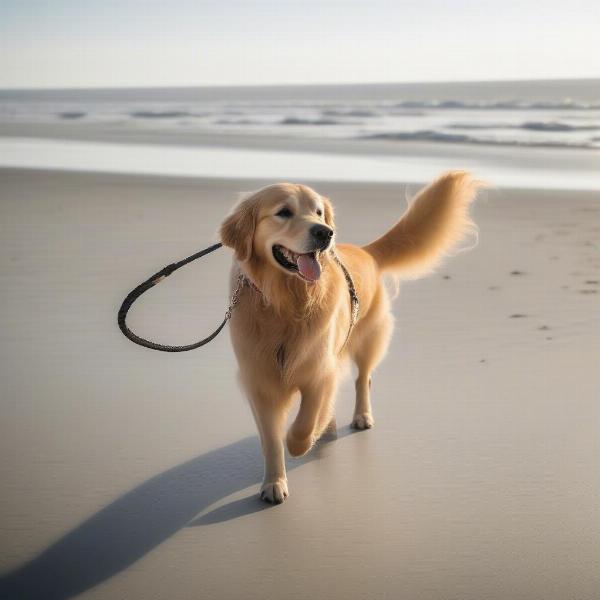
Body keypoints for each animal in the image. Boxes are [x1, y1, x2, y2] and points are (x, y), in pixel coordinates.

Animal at [219, 171, 478, 504]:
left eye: (318, 212)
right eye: (284, 212)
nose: (325, 233)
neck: (286, 302)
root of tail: (367, 251)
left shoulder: (320, 371)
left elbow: (304, 423)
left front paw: (301, 441)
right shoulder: (259, 381)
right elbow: (272, 439)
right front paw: (274, 483)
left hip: (368, 341)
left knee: (362, 379)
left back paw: (359, 416)